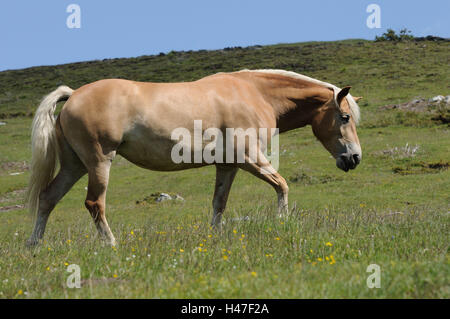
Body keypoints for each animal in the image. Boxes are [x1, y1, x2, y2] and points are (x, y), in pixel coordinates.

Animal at [23, 69, 362, 246]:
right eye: (344, 117)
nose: (355, 158)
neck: (256, 94)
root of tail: (73, 95)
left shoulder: (228, 165)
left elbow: (219, 203)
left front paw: (215, 238)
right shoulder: (250, 159)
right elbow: (282, 185)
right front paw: (282, 222)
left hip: (75, 166)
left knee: (48, 197)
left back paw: (34, 244)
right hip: (98, 162)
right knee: (94, 203)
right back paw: (111, 244)